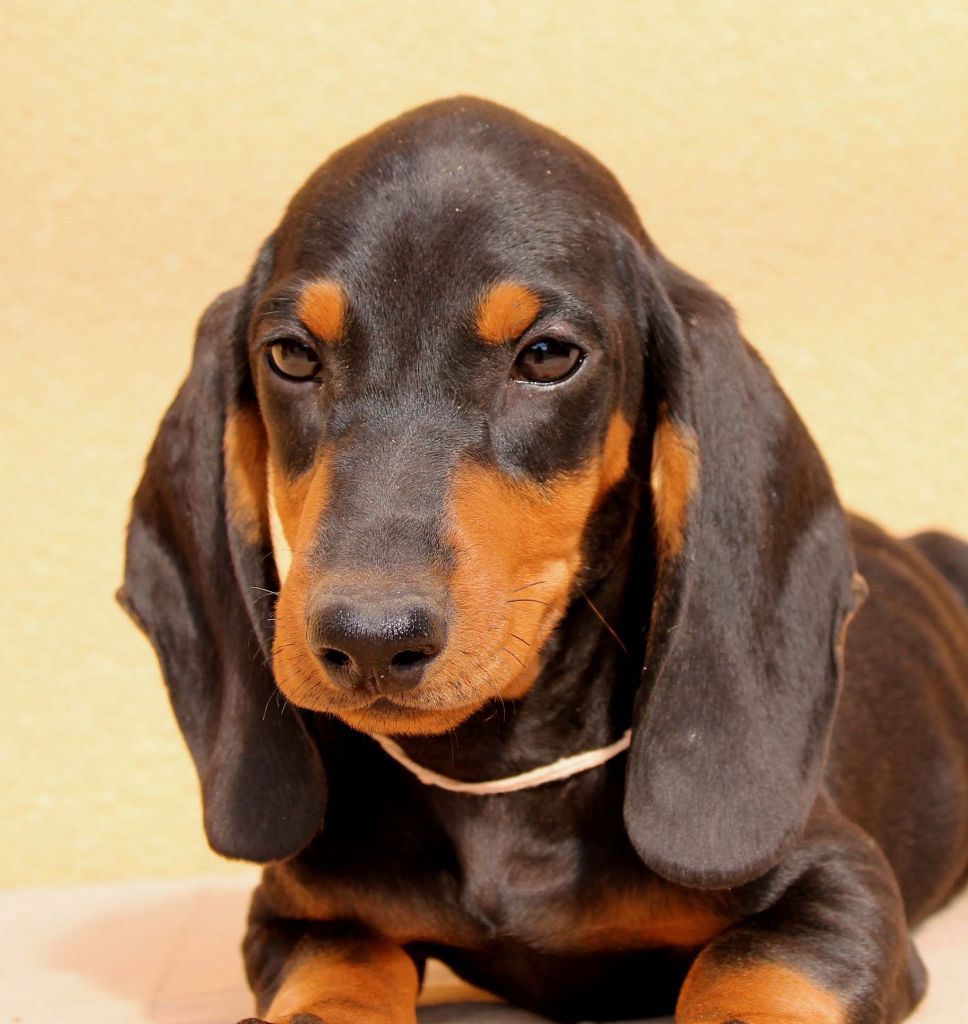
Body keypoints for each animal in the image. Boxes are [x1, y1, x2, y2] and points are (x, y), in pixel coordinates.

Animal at [120, 97, 968, 1024]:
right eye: (291, 355)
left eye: (549, 355)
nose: (368, 641)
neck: (498, 777)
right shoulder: (299, 913)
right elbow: (338, 968)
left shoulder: (839, 880)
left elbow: (754, 972)